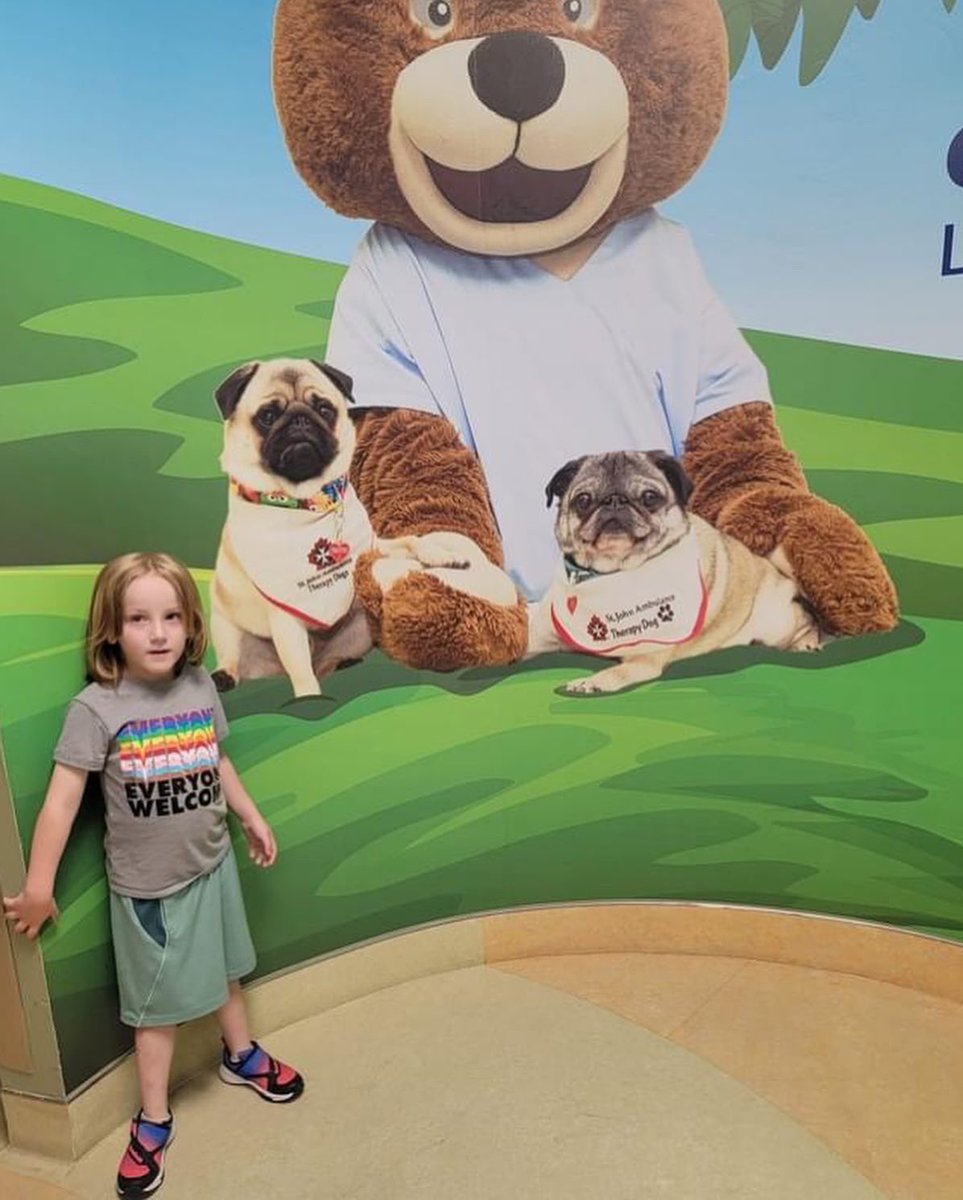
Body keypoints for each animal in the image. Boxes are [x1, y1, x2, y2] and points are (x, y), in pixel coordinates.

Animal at [211, 355, 374, 696]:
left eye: (324, 409)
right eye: (268, 416)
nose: (300, 420)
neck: (302, 502)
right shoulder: (284, 620)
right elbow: (300, 667)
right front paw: (309, 697)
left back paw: (344, 662)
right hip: (226, 627)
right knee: (234, 658)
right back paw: (223, 676)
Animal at [525, 451, 816, 696]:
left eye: (649, 497)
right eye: (583, 500)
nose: (614, 501)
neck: (611, 572)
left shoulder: (645, 657)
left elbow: (618, 672)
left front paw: (591, 682)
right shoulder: (541, 634)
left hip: (776, 620)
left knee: (806, 622)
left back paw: (808, 643)